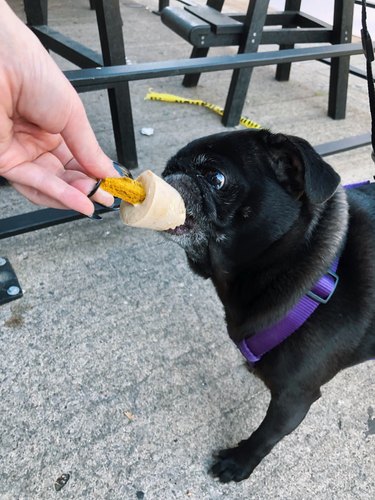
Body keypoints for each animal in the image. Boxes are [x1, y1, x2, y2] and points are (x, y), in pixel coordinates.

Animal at [162, 128, 375, 480]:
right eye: (168, 168)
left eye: (215, 178)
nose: (167, 177)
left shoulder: (294, 398)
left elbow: (266, 434)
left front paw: (239, 462)